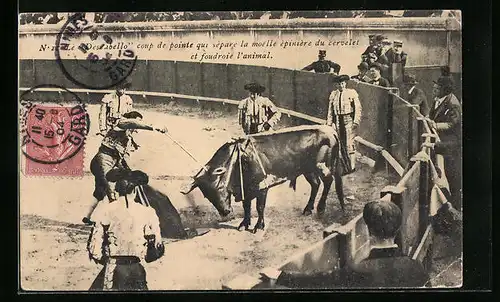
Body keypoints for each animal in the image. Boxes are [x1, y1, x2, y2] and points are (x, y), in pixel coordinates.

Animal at [181, 125, 348, 234]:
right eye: (206, 195)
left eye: (220, 187)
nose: (226, 211)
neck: (239, 160)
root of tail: (331, 130)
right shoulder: (246, 188)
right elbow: (247, 206)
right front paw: (244, 223)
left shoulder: (261, 186)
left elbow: (259, 207)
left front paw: (258, 226)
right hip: (308, 169)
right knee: (315, 184)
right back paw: (307, 209)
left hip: (322, 166)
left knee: (328, 182)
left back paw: (320, 208)